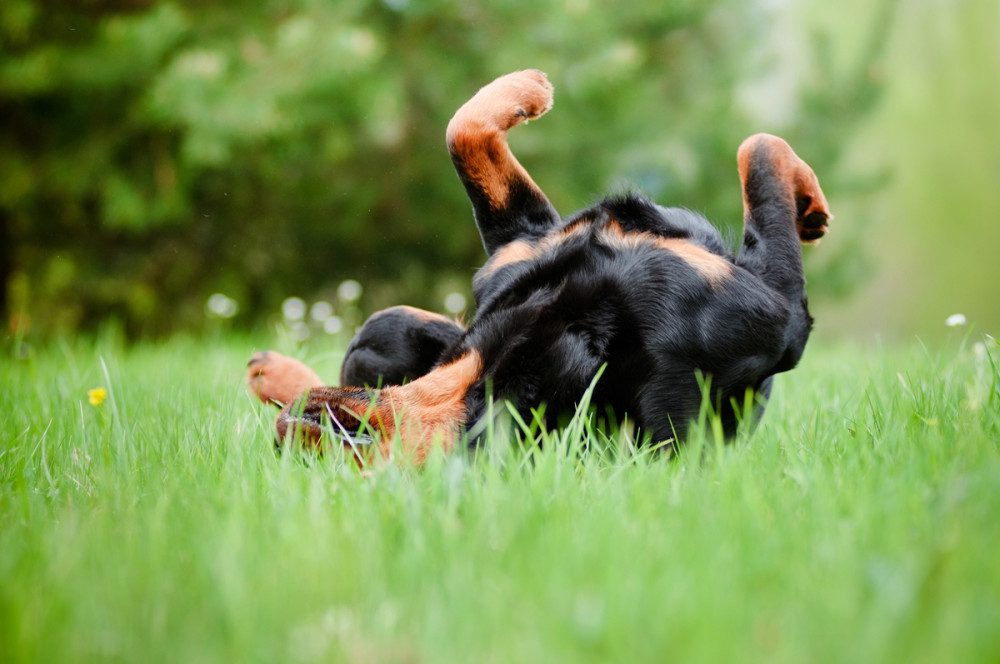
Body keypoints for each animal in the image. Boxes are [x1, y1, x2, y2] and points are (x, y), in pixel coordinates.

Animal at [246, 67, 832, 462]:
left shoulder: (519, 244)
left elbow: (464, 130)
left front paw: (523, 90)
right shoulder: (780, 311)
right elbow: (760, 152)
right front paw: (808, 205)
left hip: (386, 332)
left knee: (369, 338)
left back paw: (270, 370)